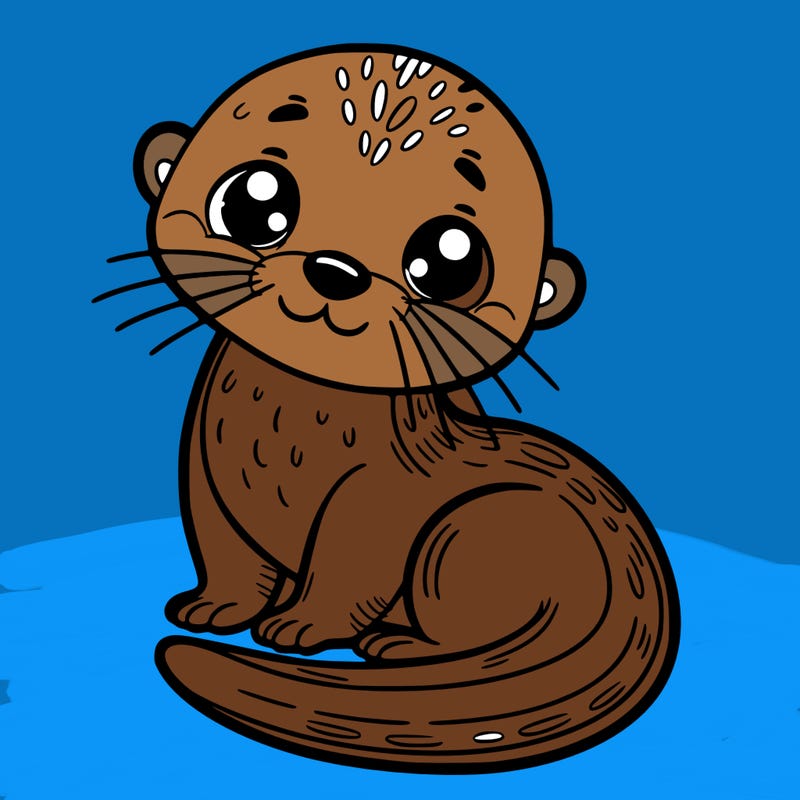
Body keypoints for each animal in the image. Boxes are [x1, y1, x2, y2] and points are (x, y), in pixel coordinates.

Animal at [109, 45, 679, 773]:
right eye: (254, 199)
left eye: (448, 260)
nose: (335, 269)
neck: (283, 435)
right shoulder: (205, 472)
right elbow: (224, 549)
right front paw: (214, 607)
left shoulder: (375, 496)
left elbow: (350, 567)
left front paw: (300, 625)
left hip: (470, 531)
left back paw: (399, 645)